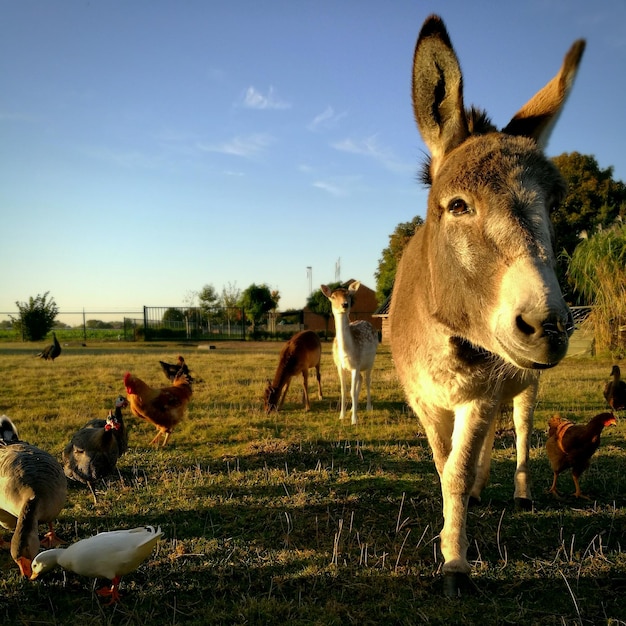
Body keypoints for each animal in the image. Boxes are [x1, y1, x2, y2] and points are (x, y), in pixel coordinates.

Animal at [322, 282, 376, 424]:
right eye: (333, 296)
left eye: (349, 295)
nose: (345, 304)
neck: (346, 352)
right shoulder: (339, 366)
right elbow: (344, 390)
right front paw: (342, 415)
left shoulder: (356, 365)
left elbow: (352, 391)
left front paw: (354, 420)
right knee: (361, 379)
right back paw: (352, 408)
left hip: (370, 361)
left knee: (367, 380)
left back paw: (368, 407)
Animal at [388, 12, 584, 592]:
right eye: (457, 206)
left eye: (552, 204)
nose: (548, 327)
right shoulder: (424, 400)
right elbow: (443, 464)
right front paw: (454, 533)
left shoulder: (479, 394)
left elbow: (455, 468)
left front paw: (455, 561)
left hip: (524, 388)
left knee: (517, 431)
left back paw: (518, 493)